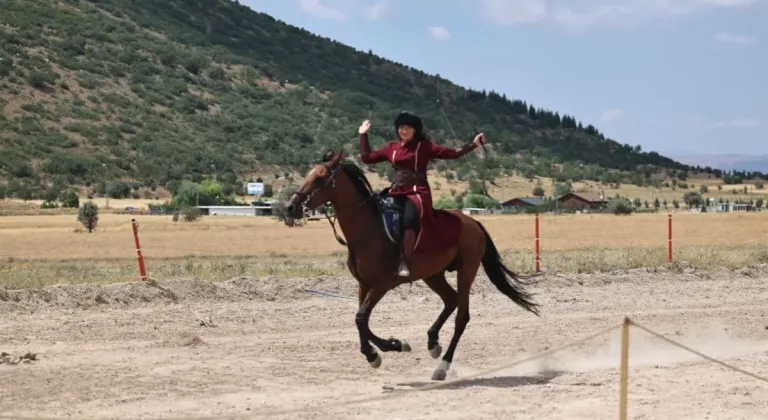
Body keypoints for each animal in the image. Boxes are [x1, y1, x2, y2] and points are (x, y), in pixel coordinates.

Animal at [282, 151, 540, 380]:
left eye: (320, 178)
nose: (290, 207)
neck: (368, 231)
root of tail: (473, 222)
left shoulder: (382, 285)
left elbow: (361, 318)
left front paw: (388, 347)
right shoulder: (364, 285)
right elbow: (360, 320)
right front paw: (381, 350)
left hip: (467, 270)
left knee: (462, 316)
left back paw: (442, 366)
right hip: (433, 274)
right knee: (451, 300)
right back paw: (433, 342)